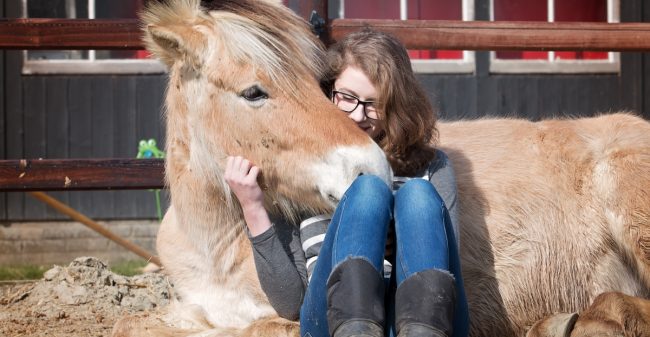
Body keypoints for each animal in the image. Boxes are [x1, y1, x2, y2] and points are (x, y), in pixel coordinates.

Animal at [112, 0, 648, 336]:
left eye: (320, 84)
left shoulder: (283, 318)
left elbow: (249, 328)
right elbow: (132, 322)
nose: (369, 167)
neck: (217, 244)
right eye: (253, 92)